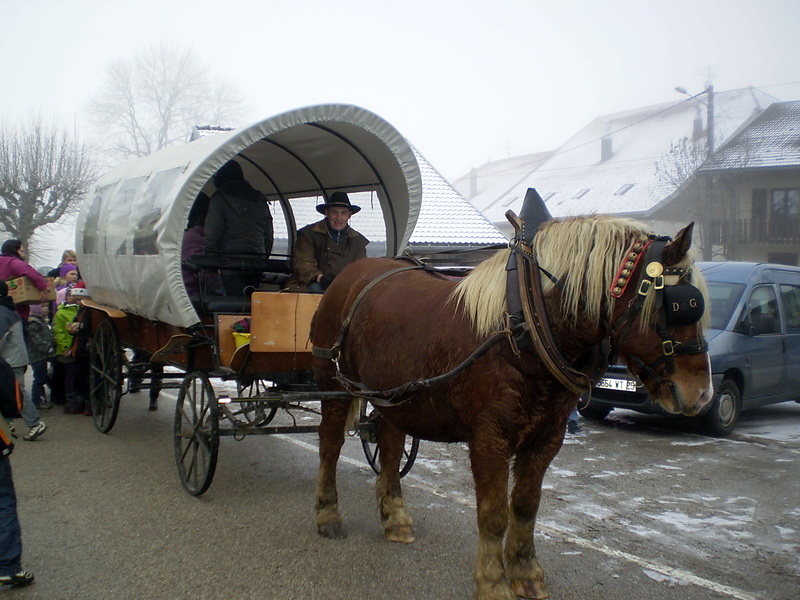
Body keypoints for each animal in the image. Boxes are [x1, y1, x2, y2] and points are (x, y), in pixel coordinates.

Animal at [310, 214, 712, 600]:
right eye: (677, 305)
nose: (701, 394)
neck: (524, 327)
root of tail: (351, 275)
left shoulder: (546, 438)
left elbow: (525, 506)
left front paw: (525, 572)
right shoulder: (490, 439)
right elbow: (494, 514)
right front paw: (492, 582)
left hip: (394, 396)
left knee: (391, 448)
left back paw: (395, 518)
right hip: (336, 387)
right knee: (330, 446)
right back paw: (328, 514)